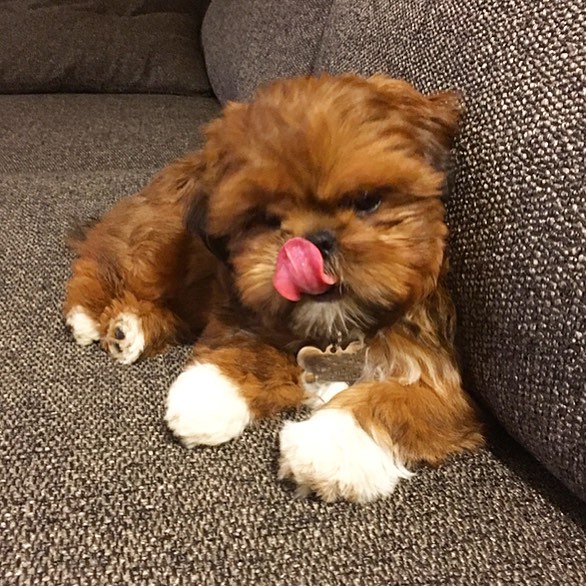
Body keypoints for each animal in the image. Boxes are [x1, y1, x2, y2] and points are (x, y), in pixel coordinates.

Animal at [64, 73, 484, 502]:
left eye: (367, 200)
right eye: (266, 219)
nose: (314, 241)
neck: (337, 327)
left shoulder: (439, 379)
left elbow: (393, 402)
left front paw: (328, 446)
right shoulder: (242, 306)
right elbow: (252, 349)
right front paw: (210, 392)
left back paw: (129, 329)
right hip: (158, 242)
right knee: (103, 262)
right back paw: (90, 316)